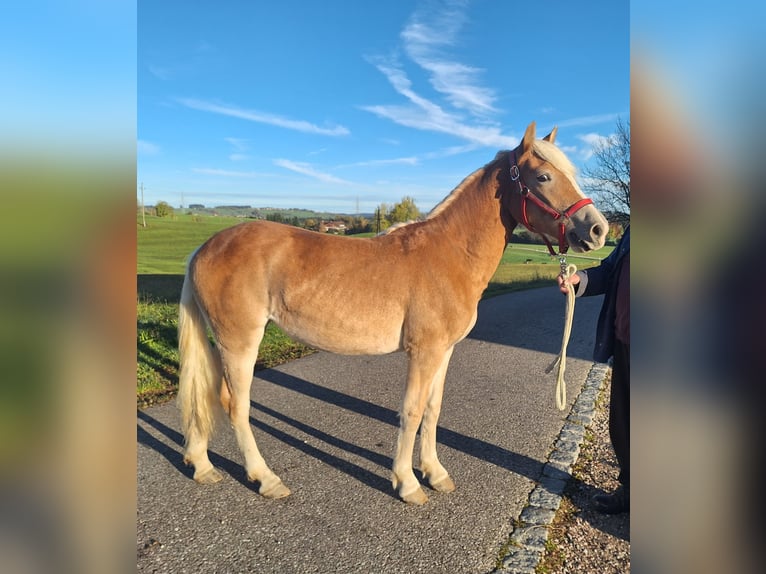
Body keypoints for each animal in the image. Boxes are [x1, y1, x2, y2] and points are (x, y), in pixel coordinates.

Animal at [177, 121, 608, 504]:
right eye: (543, 177)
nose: (598, 229)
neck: (450, 254)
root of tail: (203, 249)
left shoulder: (444, 351)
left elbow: (433, 410)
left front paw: (435, 473)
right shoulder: (423, 352)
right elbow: (412, 412)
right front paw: (407, 483)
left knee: (206, 395)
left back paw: (202, 466)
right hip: (240, 342)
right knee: (236, 405)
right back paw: (265, 479)